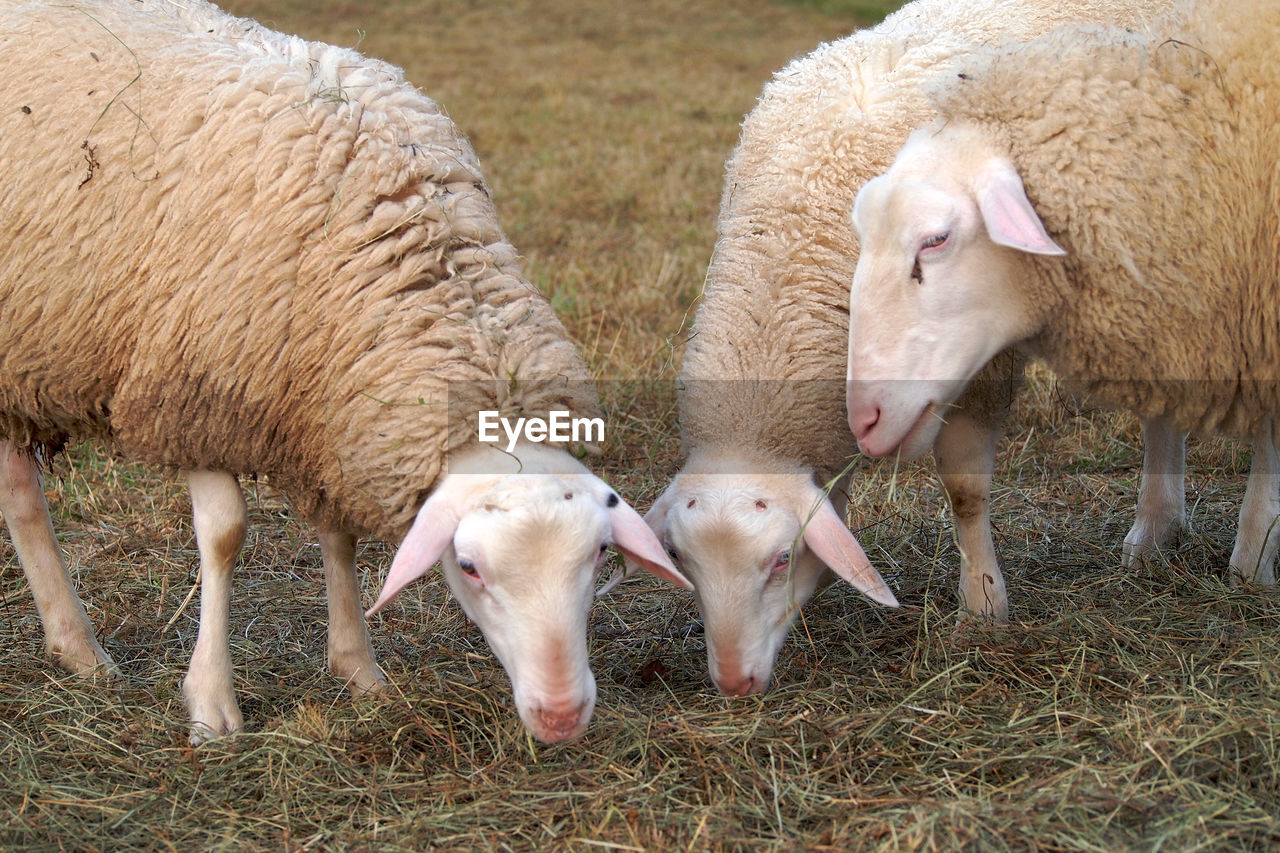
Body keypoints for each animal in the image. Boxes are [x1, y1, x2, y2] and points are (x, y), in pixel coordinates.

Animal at [0, 0, 691, 742]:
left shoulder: (331, 404)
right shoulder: (195, 387)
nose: (562, 715)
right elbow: (224, 534)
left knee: (19, 494)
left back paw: (73, 647)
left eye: (598, 557)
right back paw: (85, 648)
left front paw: (358, 667)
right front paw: (212, 703)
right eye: (469, 568)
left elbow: (339, 533)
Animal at [650, 0, 1187, 696]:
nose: (734, 684)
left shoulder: (980, 358)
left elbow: (965, 489)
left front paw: (983, 609)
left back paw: (1155, 531)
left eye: (782, 558)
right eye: (680, 558)